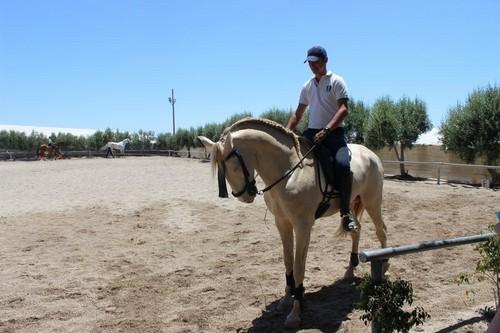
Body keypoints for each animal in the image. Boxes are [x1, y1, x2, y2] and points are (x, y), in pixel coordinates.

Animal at [196, 117, 386, 326]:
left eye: (234, 165)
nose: (245, 196)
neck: (289, 172)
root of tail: (370, 154)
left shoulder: (303, 226)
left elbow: (298, 267)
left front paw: (295, 312)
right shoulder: (282, 223)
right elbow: (288, 262)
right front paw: (286, 300)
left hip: (372, 202)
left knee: (381, 230)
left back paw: (384, 265)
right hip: (352, 203)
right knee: (356, 231)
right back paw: (349, 272)